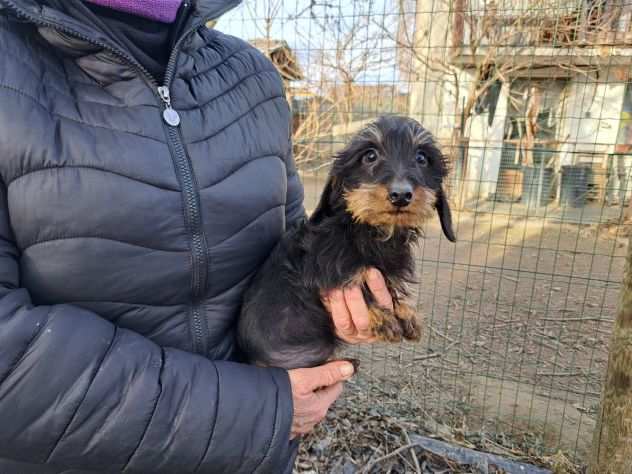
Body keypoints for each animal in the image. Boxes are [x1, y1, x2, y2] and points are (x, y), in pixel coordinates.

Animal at [237, 115, 454, 370]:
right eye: (370, 155)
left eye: (422, 158)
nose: (401, 195)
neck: (372, 232)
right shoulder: (319, 266)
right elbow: (354, 277)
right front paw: (383, 317)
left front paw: (406, 312)